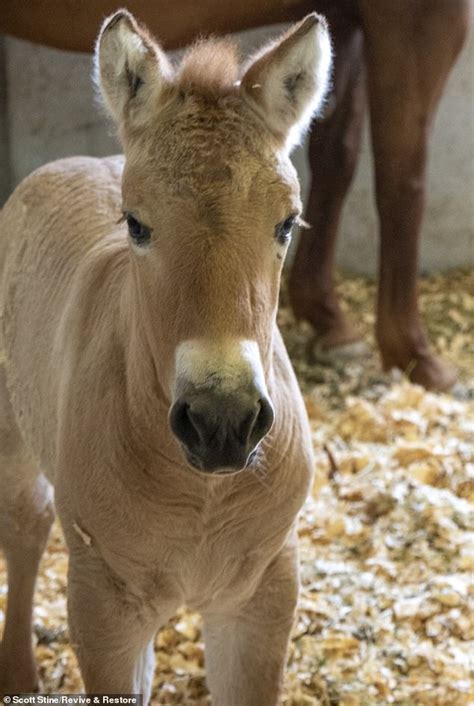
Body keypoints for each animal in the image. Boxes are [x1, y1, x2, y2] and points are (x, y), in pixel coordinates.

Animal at [0, 12, 332, 704]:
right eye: (135, 224)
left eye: (288, 223)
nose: (221, 422)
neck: (200, 496)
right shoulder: (102, 606)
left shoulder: (263, 597)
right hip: (12, 441)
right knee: (24, 529)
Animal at [1, 1, 470, 390]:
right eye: (134, 223)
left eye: (288, 222)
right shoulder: (414, 16)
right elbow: (403, 181)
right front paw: (418, 356)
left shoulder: (345, 16)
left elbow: (337, 153)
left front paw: (329, 319)